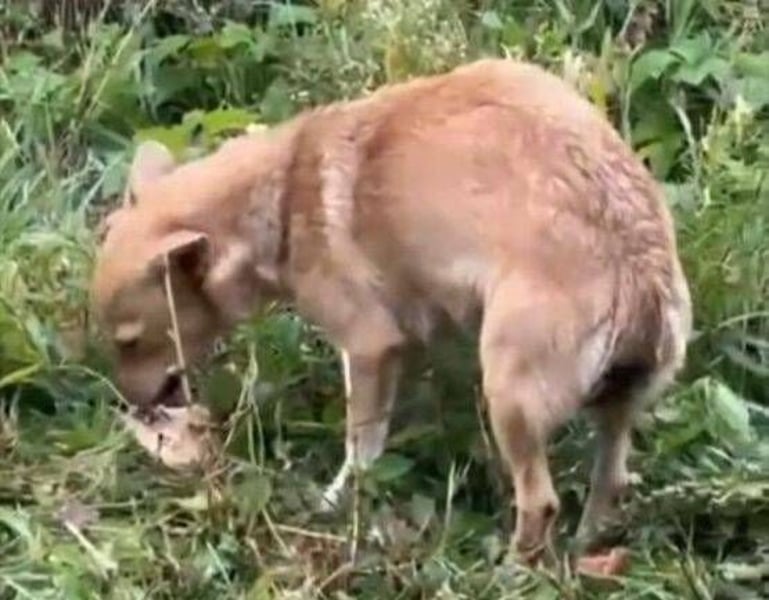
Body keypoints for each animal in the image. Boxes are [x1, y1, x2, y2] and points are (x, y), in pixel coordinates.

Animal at [90, 58, 692, 564]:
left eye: (131, 341)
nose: (135, 408)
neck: (283, 197)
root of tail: (639, 264)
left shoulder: (369, 347)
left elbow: (362, 449)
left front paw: (337, 506)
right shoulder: (411, 340)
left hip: (508, 394)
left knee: (540, 501)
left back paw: (511, 570)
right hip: (614, 408)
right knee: (610, 483)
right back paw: (584, 550)